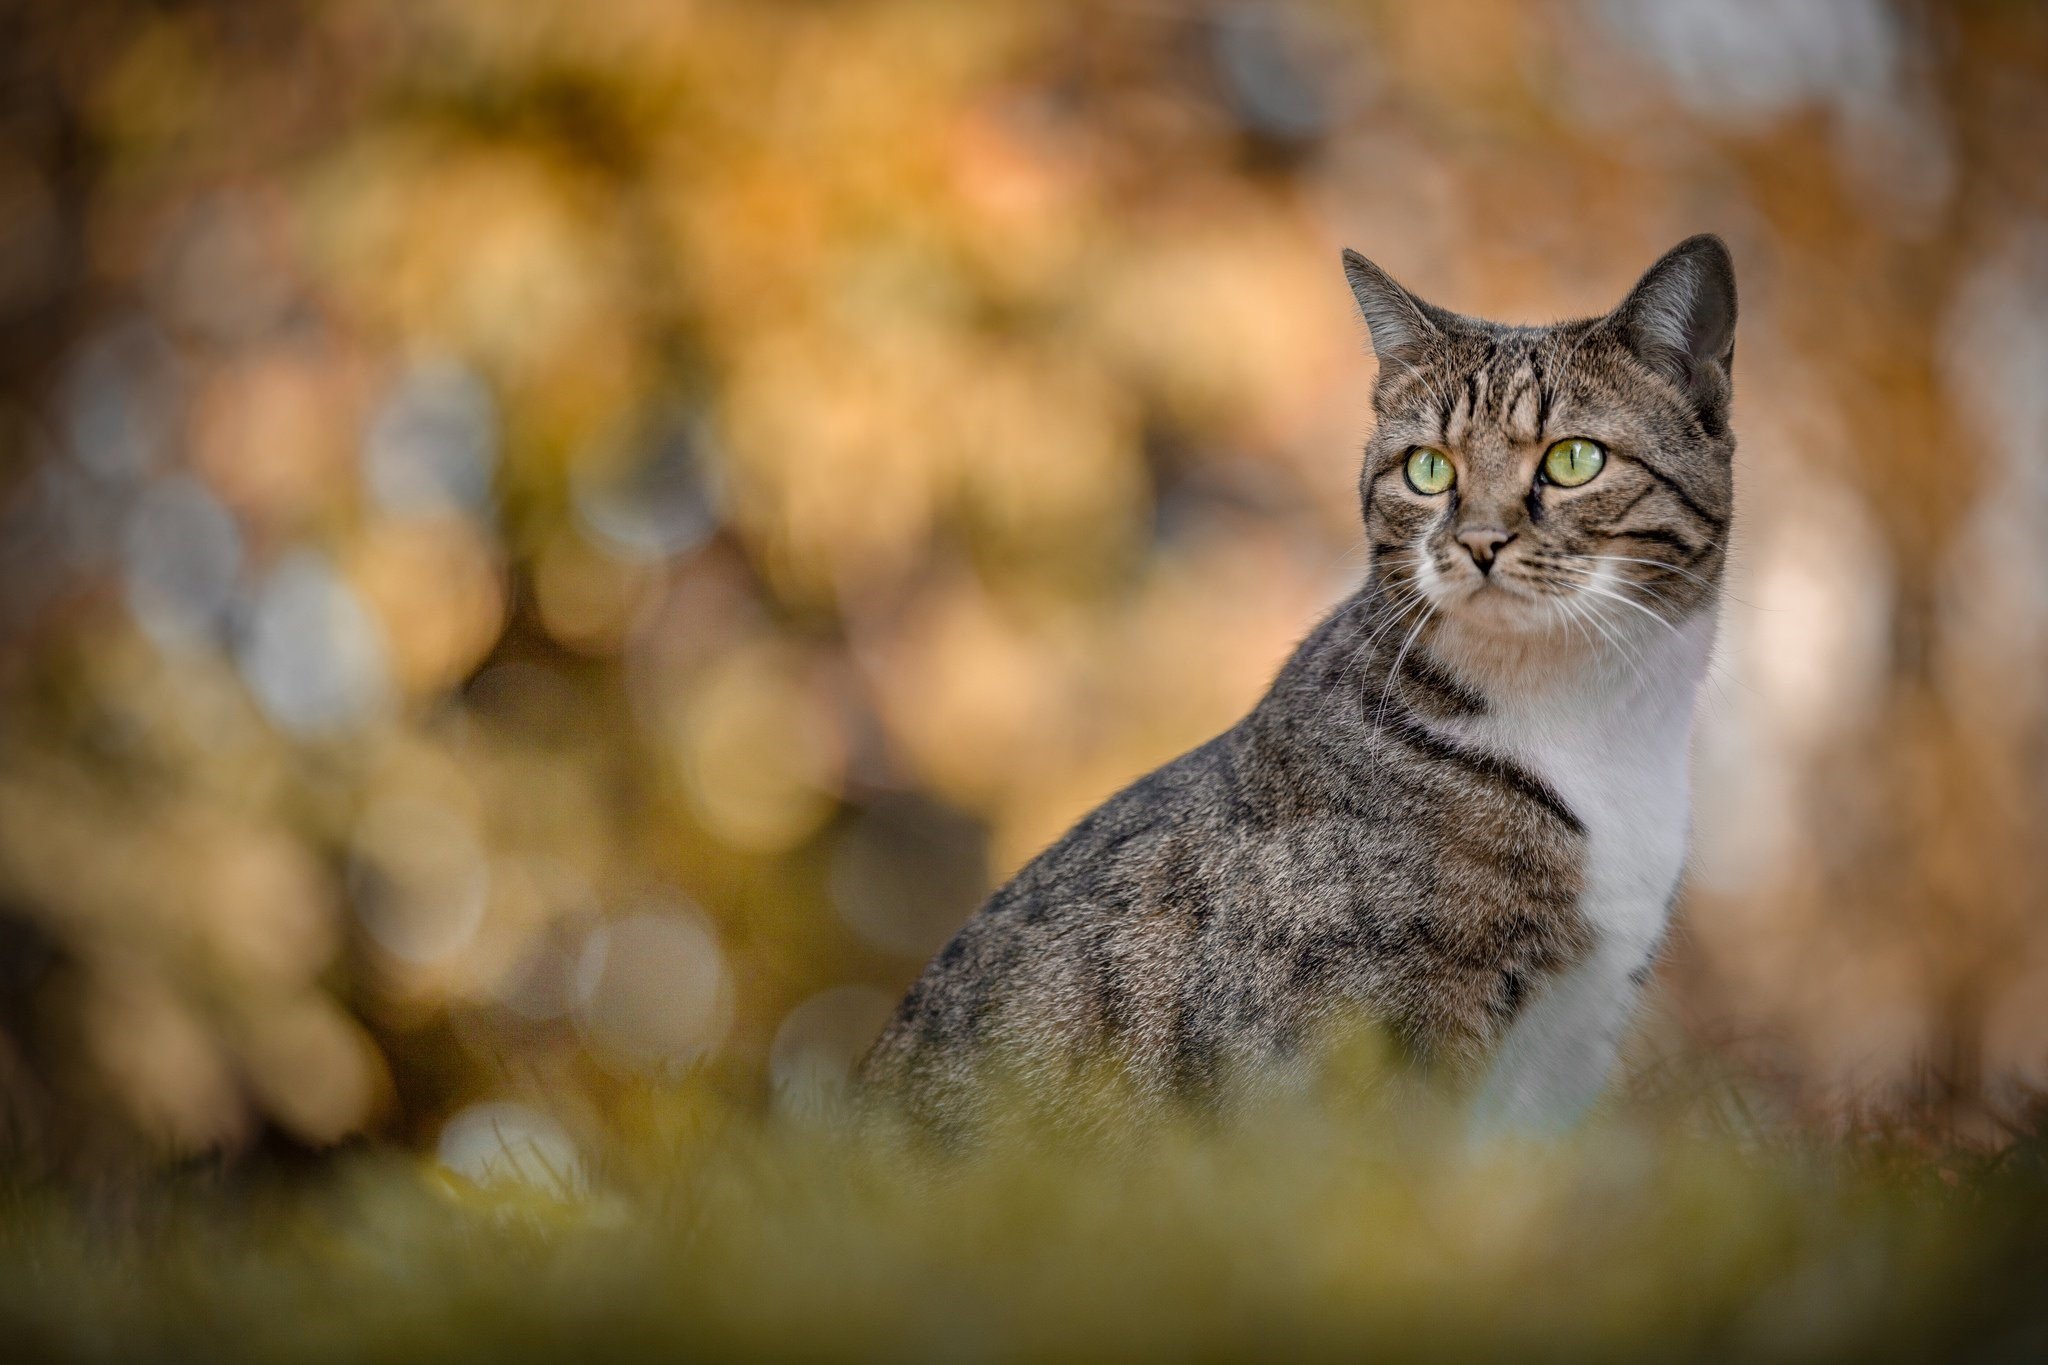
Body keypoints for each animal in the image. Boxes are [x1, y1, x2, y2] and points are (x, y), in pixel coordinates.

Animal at [856, 237, 1736, 1146]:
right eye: (1429, 469)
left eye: (1574, 458)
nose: (1480, 540)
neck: (1590, 728)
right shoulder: (1354, 1052)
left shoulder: (1569, 1042)